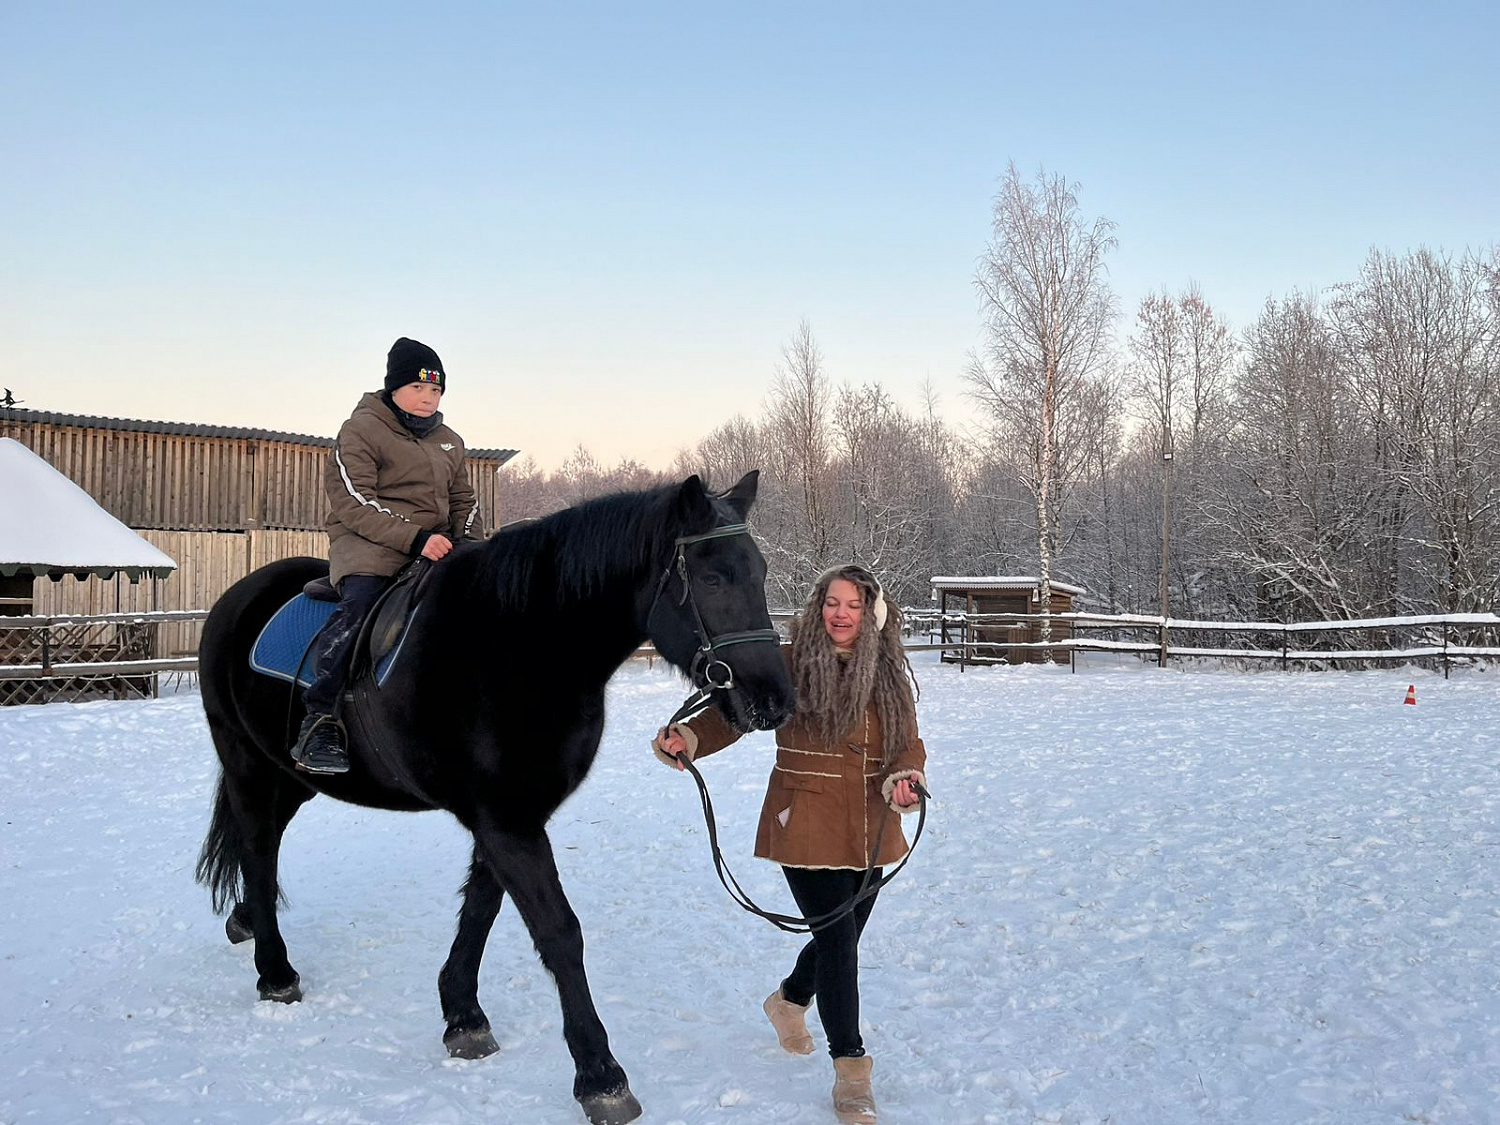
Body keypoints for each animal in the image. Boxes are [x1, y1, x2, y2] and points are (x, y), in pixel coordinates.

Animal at [194, 470, 794, 1125]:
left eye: (760, 572)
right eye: (711, 578)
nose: (775, 699)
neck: (518, 644)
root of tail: (236, 597)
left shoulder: (509, 816)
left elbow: (481, 908)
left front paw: (463, 1016)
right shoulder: (506, 820)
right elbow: (559, 931)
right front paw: (600, 1075)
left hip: (292, 778)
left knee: (263, 847)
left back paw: (246, 922)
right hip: (248, 764)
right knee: (257, 847)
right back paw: (274, 971)